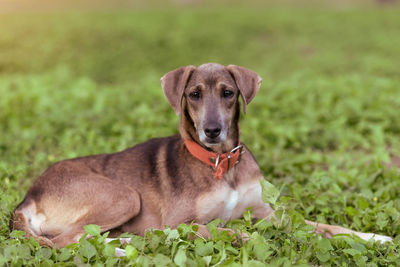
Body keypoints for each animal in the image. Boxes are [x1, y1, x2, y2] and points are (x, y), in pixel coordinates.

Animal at [10, 63, 392, 249]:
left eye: (228, 93)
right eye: (193, 94)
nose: (212, 131)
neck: (222, 164)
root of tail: (27, 198)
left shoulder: (268, 213)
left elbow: (326, 227)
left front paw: (375, 238)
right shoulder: (180, 222)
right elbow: (215, 230)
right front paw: (243, 237)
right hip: (123, 195)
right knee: (62, 243)